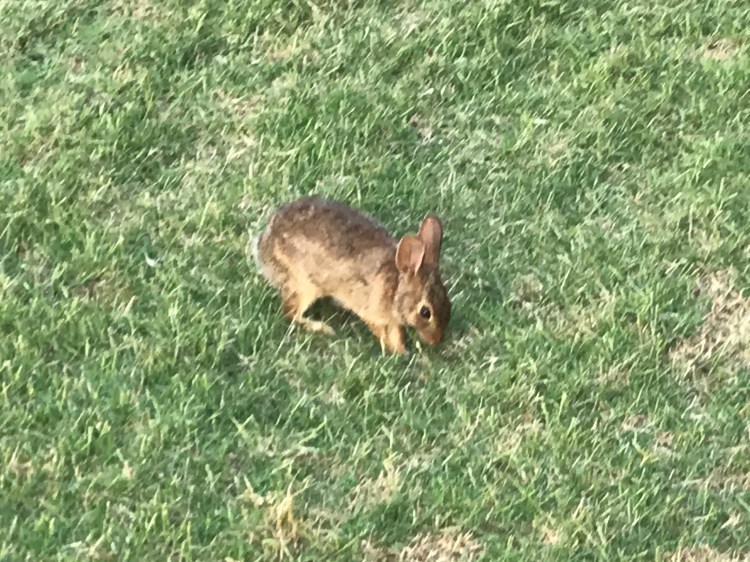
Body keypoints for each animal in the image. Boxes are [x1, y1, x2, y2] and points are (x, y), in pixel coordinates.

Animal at [252, 195, 450, 353]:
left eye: (448, 301)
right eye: (425, 312)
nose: (436, 340)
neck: (395, 286)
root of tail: (265, 243)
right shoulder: (373, 313)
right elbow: (384, 332)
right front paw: (399, 352)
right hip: (304, 286)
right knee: (290, 313)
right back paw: (322, 327)